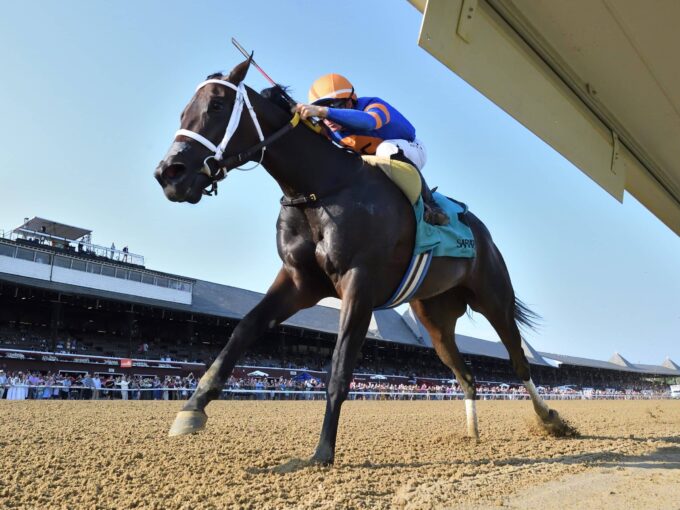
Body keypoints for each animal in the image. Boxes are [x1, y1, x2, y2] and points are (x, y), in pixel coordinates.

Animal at [154, 57, 572, 464]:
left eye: (217, 105)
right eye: (183, 111)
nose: (169, 174)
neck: (319, 189)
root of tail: (481, 230)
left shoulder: (359, 283)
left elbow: (340, 368)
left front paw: (322, 452)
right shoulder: (298, 282)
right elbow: (243, 330)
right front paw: (192, 409)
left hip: (493, 296)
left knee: (518, 360)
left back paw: (551, 419)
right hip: (435, 318)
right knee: (466, 374)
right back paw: (472, 433)